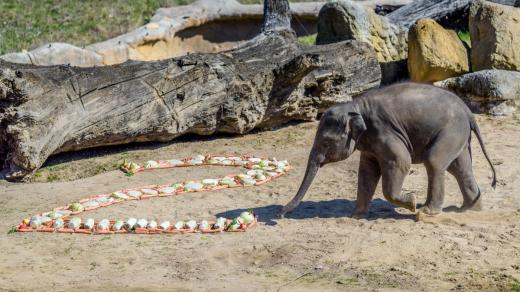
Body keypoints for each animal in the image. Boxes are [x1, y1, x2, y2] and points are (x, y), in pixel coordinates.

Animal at [278, 81, 498, 218]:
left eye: (325, 142)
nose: (281, 213)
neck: (355, 106)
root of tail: (468, 112)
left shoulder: (384, 131)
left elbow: (401, 162)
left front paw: (412, 202)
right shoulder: (369, 142)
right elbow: (366, 171)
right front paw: (355, 215)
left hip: (451, 130)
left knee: (435, 162)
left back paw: (427, 212)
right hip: (458, 135)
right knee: (460, 168)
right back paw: (470, 209)